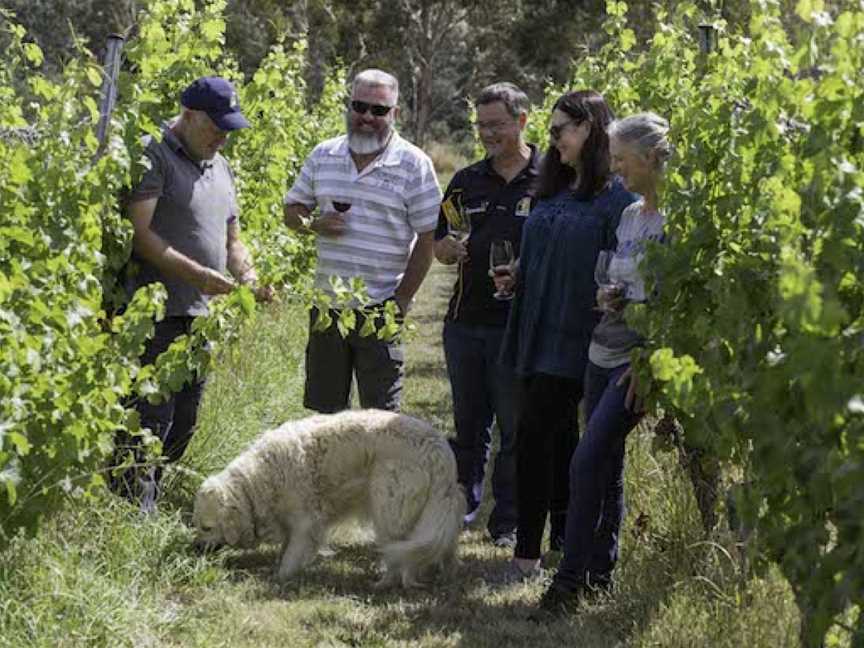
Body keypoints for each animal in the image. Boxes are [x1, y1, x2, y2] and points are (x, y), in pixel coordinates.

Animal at [193, 410, 466, 588]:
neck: (258, 480)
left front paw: (280, 577)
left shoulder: (305, 523)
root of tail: (439, 450)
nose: (194, 547)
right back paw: (447, 574)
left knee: (399, 558)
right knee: (442, 547)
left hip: (387, 509)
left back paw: (383, 583)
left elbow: (291, 555)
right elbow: (286, 547)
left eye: (207, 528)